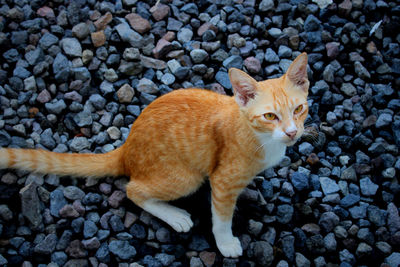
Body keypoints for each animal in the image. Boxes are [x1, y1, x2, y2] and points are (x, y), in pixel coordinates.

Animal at [0, 52, 310, 260]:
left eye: (299, 109)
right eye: (270, 116)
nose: (292, 132)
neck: (261, 138)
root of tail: (127, 148)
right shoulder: (222, 180)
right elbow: (221, 216)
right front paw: (226, 243)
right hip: (186, 177)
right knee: (133, 190)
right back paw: (174, 215)